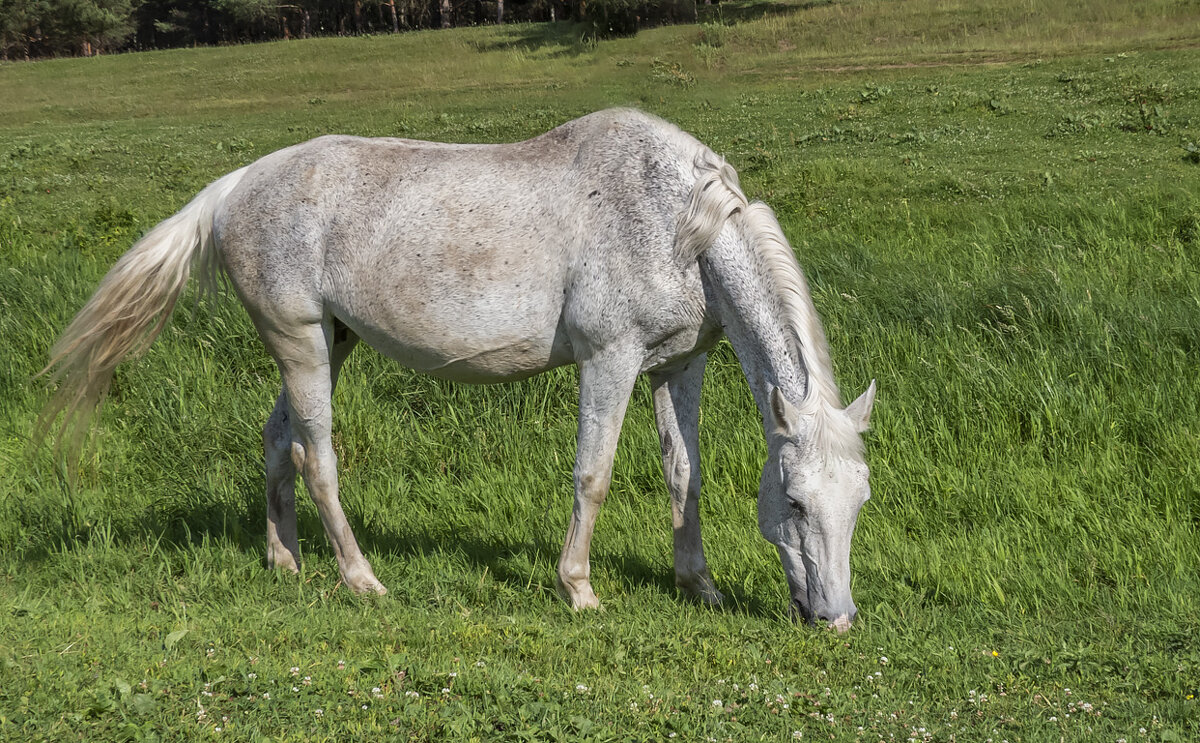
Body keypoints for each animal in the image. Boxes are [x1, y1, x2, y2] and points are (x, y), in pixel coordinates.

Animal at [44, 109, 873, 633]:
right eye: (794, 501)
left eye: (858, 501)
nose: (835, 618)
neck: (675, 219)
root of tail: (237, 184)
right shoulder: (610, 360)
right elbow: (593, 474)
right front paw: (578, 589)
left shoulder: (678, 364)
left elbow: (684, 475)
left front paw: (698, 584)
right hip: (301, 341)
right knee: (317, 456)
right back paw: (361, 578)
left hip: (330, 342)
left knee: (278, 440)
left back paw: (285, 559)